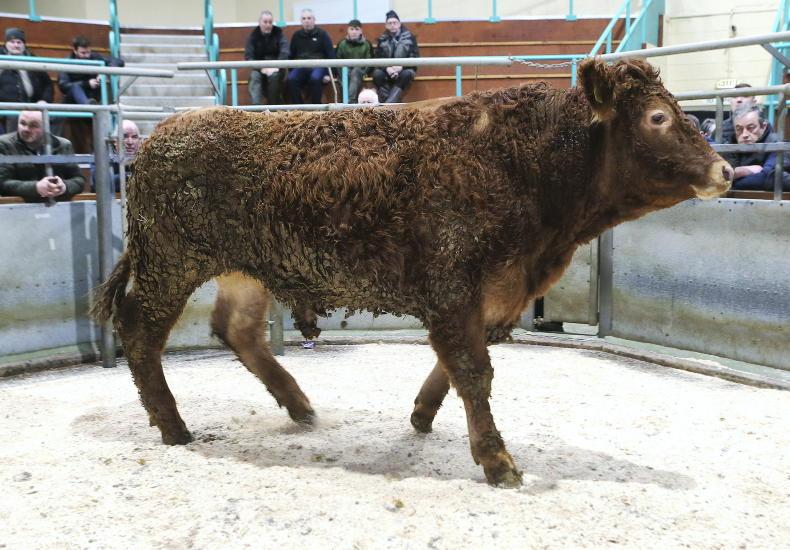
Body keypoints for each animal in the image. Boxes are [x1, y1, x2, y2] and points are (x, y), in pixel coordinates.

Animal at [92, 58, 733, 487]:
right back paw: (174, 426)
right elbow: (473, 370)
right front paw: (497, 460)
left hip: (242, 269)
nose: (725, 170)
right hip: (169, 263)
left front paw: (423, 416)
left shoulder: (487, 295)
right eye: (657, 117)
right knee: (139, 332)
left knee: (238, 330)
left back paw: (299, 406)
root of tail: (164, 133)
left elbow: (453, 366)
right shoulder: (452, 285)